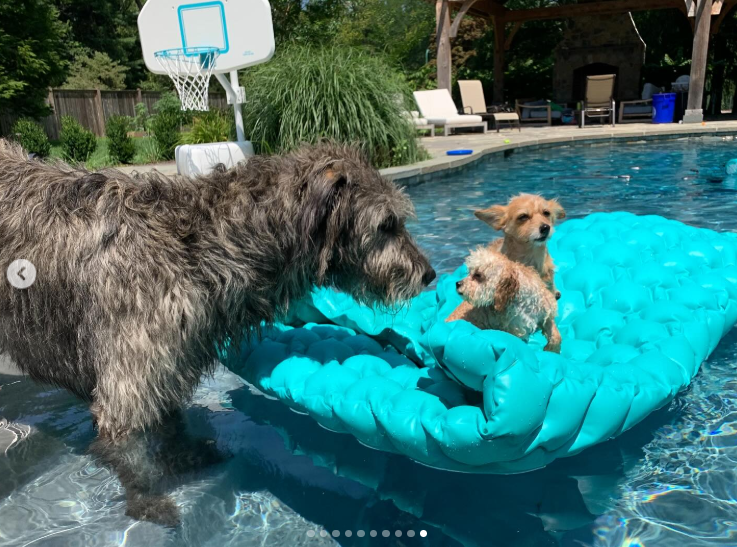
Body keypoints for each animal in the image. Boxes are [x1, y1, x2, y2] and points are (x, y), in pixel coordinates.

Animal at [0, 139, 434, 524]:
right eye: (386, 225)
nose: (429, 274)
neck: (196, 244)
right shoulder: (129, 379)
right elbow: (131, 446)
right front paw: (148, 502)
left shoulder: (171, 362)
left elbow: (170, 420)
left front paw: (186, 459)